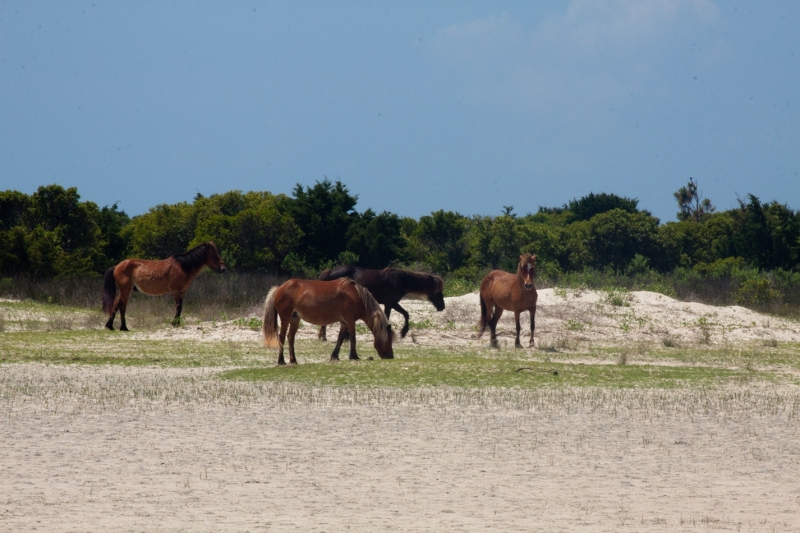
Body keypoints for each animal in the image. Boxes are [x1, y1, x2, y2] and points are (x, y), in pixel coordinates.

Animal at [262, 278, 395, 365]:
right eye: (389, 340)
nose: (390, 356)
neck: (356, 296)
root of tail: (279, 288)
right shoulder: (350, 321)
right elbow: (353, 338)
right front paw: (354, 356)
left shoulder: (344, 322)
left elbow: (340, 339)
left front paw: (334, 356)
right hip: (285, 318)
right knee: (282, 337)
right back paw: (281, 361)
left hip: (295, 318)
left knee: (290, 337)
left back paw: (293, 360)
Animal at [316, 265, 445, 340]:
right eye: (437, 291)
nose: (442, 306)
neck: (399, 281)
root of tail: (331, 271)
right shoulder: (390, 303)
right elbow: (392, 316)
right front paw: (397, 333)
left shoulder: (392, 303)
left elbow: (405, 314)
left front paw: (403, 332)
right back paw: (325, 337)